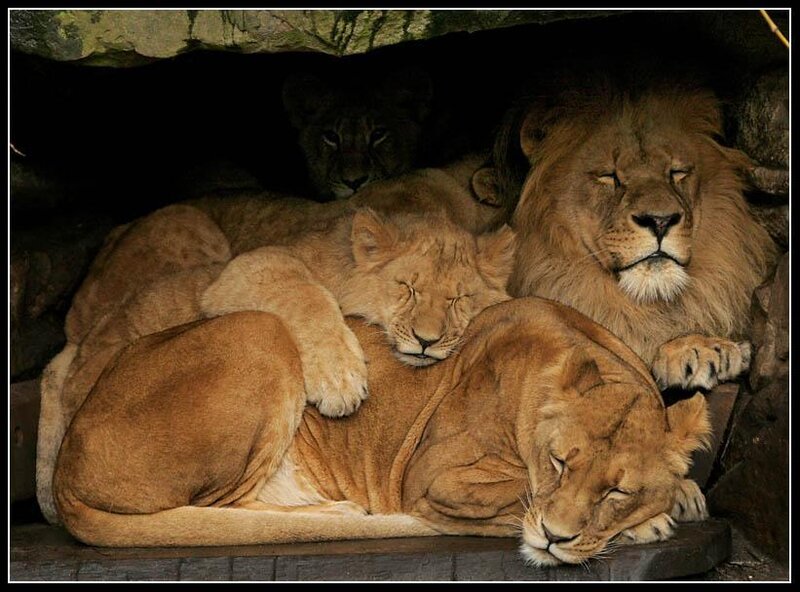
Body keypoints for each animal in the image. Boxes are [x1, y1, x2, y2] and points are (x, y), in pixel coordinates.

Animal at [36, 169, 515, 525]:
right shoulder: (243, 270)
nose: (426, 340)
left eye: (459, 299)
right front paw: (341, 381)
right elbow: (307, 293)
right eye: (407, 288)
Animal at [52, 297, 712, 568]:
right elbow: (516, 497)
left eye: (616, 489)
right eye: (559, 463)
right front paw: (646, 523)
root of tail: (61, 467)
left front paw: (676, 498)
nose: (556, 538)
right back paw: (340, 514)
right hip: (264, 331)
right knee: (224, 511)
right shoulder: (431, 480)